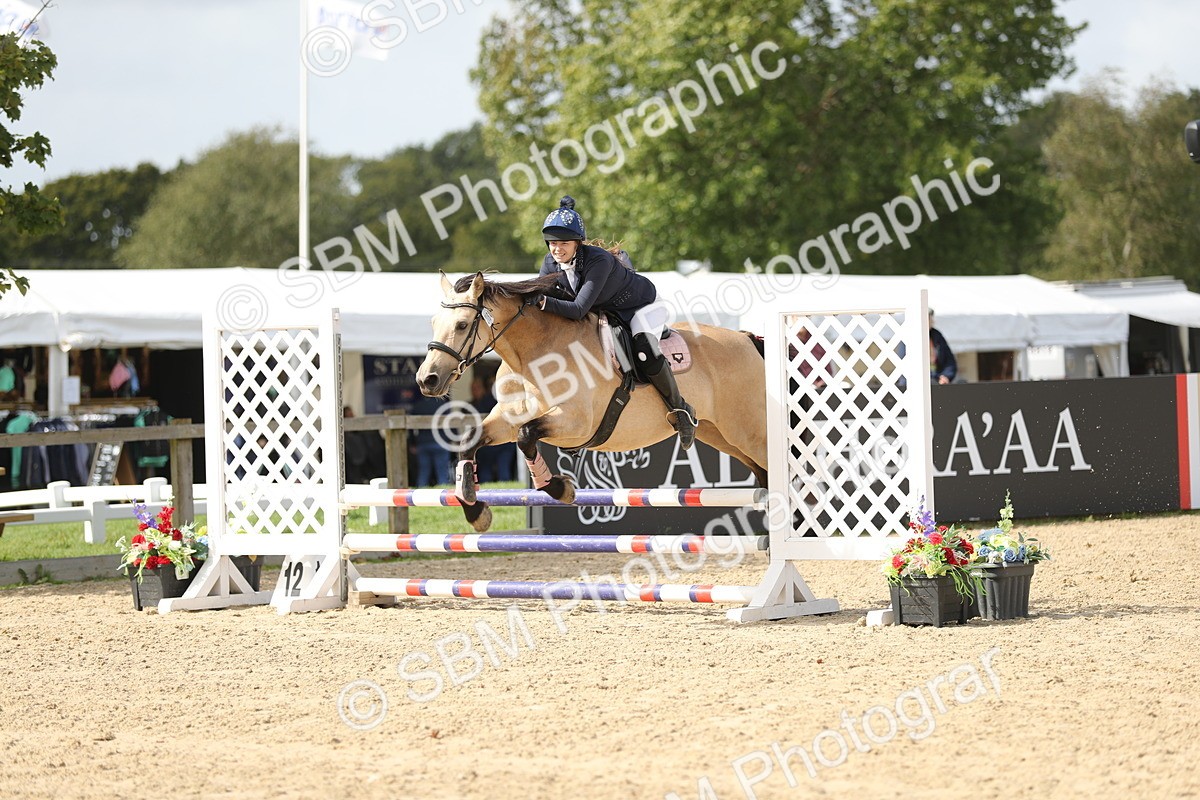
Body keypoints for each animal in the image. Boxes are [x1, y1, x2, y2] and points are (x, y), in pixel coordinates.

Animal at [415, 271, 769, 532]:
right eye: (432, 323)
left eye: (462, 325)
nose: (426, 380)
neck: (530, 357)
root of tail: (748, 339)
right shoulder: (507, 420)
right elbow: (471, 442)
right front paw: (476, 511)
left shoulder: (575, 423)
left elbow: (526, 437)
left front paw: (560, 489)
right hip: (720, 434)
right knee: (762, 474)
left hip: (749, 432)